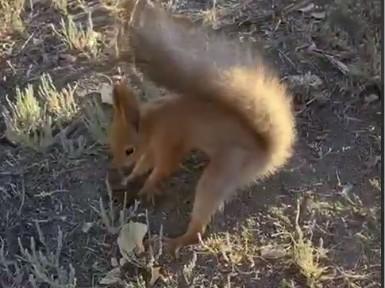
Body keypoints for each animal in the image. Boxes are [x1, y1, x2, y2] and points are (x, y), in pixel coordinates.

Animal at [109, 0, 296, 256]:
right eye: (111, 143)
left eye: (129, 150)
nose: (117, 167)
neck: (153, 122)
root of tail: (267, 154)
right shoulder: (153, 147)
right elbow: (145, 163)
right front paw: (132, 177)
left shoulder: (170, 140)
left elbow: (164, 167)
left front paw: (148, 186)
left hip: (224, 169)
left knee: (198, 228)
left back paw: (177, 241)